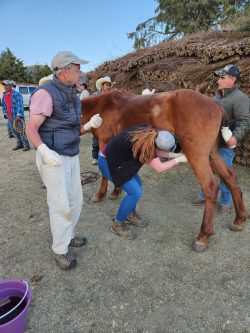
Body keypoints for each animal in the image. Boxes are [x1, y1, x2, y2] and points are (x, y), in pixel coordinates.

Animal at [81, 88, 248, 252]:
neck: (102, 106)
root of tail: (215, 105)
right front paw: (117, 191)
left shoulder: (104, 142)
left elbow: (104, 172)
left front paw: (100, 194)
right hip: (212, 154)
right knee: (230, 178)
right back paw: (239, 219)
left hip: (197, 155)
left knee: (211, 187)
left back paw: (202, 237)